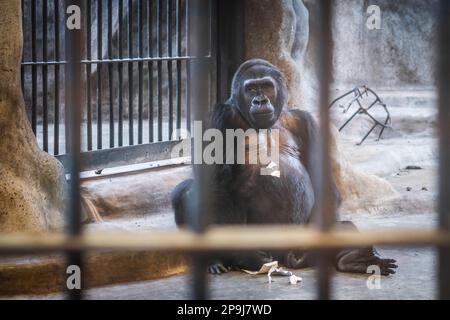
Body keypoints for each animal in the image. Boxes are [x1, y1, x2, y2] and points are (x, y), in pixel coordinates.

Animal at [172, 58, 398, 276]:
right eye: (251, 89)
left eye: (266, 86)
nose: (260, 100)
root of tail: (283, 256)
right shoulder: (218, 117)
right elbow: (215, 185)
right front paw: (247, 257)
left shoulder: (304, 121)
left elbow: (324, 184)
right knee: (187, 191)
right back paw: (218, 260)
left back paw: (355, 258)